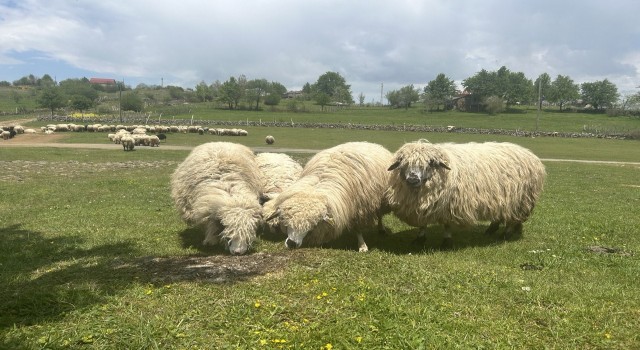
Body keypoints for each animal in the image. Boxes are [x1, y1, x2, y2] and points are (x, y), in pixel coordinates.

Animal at [262, 141, 392, 253]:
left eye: (312, 225)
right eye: (286, 220)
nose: (291, 244)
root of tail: (367, 142)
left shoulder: (359, 209)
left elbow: (357, 229)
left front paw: (362, 246)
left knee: (379, 215)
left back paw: (381, 229)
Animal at [384, 139, 544, 249]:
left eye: (430, 163)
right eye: (403, 164)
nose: (412, 179)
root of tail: (529, 153)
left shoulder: (449, 205)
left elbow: (447, 225)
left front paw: (447, 242)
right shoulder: (422, 206)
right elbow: (422, 224)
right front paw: (419, 239)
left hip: (519, 200)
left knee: (511, 218)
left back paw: (505, 234)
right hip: (501, 198)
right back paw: (491, 230)